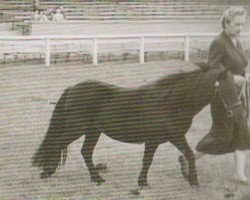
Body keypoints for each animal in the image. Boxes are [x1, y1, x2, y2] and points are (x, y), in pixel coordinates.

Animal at [31, 63, 244, 188]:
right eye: (227, 89)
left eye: (237, 87)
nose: (240, 115)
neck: (171, 102)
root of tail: (73, 88)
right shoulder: (155, 140)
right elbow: (147, 161)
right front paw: (143, 183)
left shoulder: (175, 137)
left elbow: (190, 154)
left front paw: (193, 181)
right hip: (76, 129)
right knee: (57, 143)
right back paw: (47, 172)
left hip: (93, 131)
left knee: (85, 152)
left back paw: (97, 178)